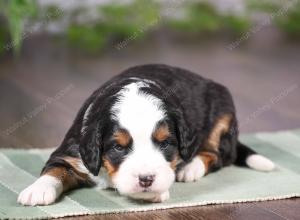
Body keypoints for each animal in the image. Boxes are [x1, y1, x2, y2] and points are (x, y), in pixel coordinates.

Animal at [17, 64, 274, 206]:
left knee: (217, 154)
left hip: (223, 110)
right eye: (118, 147)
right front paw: (37, 190)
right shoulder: (72, 151)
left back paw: (190, 168)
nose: (146, 179)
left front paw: (154, 190)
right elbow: (55, 169)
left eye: (166, 144)